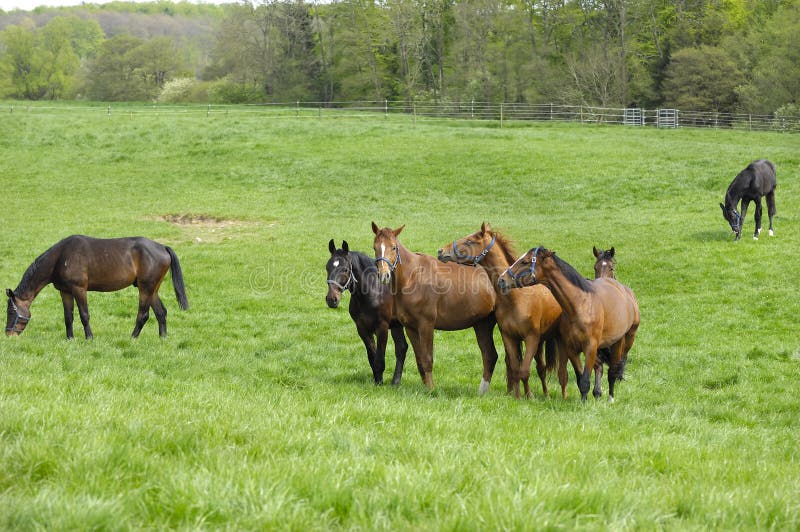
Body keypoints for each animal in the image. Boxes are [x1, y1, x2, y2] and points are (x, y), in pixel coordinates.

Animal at [5, 236, 188, 338]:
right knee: (161, 313)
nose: (8, 334)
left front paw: (89, 338)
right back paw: (162, 338)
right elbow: (68, 317)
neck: (61, 257)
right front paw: (70, 339)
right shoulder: (65, 291)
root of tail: (162, 247)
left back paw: (133, 338)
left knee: (143, 315)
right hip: (152, 289)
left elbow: (84, 315)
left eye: (12, 311)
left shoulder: (79, 289)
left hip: (145, 289)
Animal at [326, 239, 410, 384]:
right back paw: (395, 382)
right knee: (401, 348)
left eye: (345, 269)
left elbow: (380, 358)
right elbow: (372, 357)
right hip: (397, 325)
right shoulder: (362, 328)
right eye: (327, 267)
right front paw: (377, 380)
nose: (332, 299)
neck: (373, 291)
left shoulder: (382, 327)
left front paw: (379, 383)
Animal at [370, 222, 500, 392]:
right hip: (482, 324)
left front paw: (431, 389)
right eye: (375, 247)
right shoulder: (411, 328)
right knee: (489, 355)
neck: (413, 277)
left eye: (393, 247)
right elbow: (420, 359)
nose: (384, 275)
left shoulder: (426, 325)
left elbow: (427, 358)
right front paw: (426, 387)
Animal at [438, 221, 564, 400]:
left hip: (540, 342)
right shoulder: (509, 337)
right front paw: (517, 397)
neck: (515, 299)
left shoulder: (532, 338)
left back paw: (545, 395)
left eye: (469, 241)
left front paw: (529, 396)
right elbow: (515, 368)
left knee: (541, 368)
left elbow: (525, 370)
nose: (441, 251)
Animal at [496, 247, 640, 402]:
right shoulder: (572, 349)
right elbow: (580, 379)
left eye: (525, 261)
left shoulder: (590, 347)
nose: (501, 280)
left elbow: (585, 379)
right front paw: (584, 400)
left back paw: (610, 398)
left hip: (621, 341)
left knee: (613, 370)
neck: (580, 305)